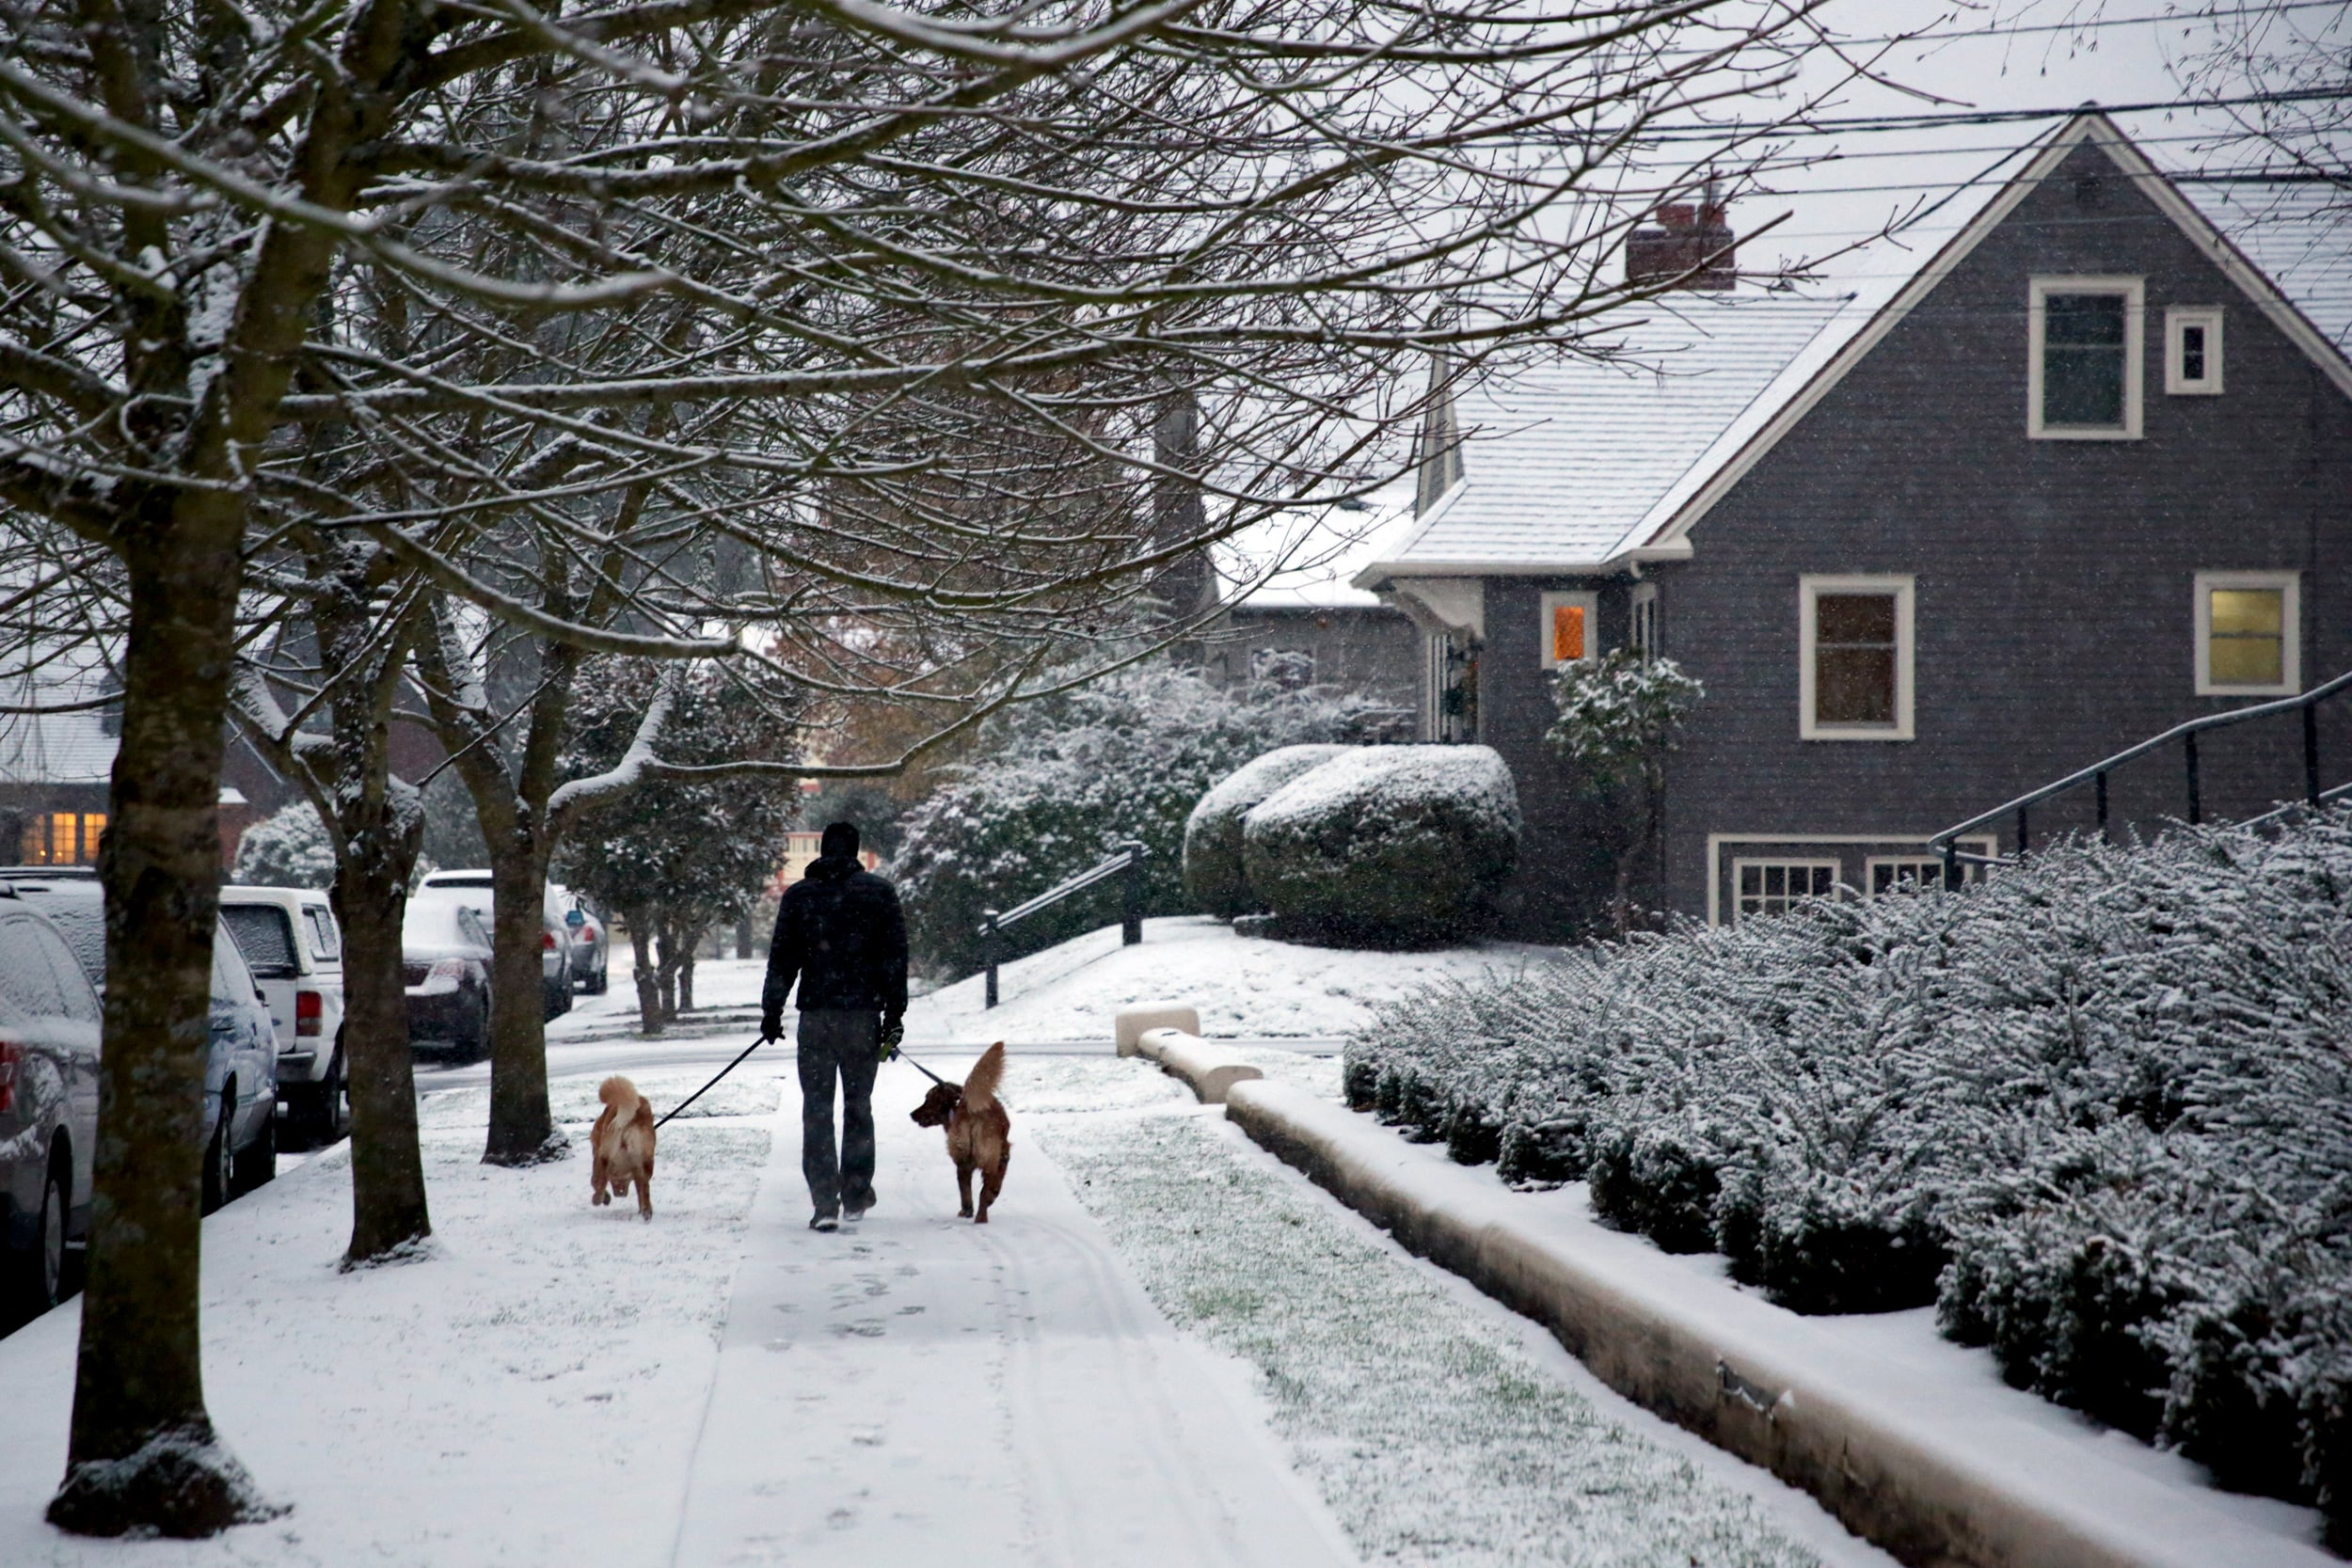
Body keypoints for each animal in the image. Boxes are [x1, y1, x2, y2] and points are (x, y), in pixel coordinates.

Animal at [593, 1071, 659, 1222]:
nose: (620, 1194)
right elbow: (640, 1192)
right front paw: (642, 1210)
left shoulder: (597, 1157)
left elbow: (595, 1181)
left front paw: (604, 1198)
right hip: (646, 1161)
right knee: (645, 1189)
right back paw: (647, 1213)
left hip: (604, 1155)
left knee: (600, 1182)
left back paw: (598, 1198)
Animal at [903, 1043, 1007, 1222]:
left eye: (927, 1100)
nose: (912, 1114)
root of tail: (973, 1111)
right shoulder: (1002, 1157)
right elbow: (992, 1187)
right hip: (985, 1157)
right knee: (981, 1190)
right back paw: (979, 1216)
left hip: (966, 1155)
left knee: (967, 1187)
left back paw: (971, 1212)